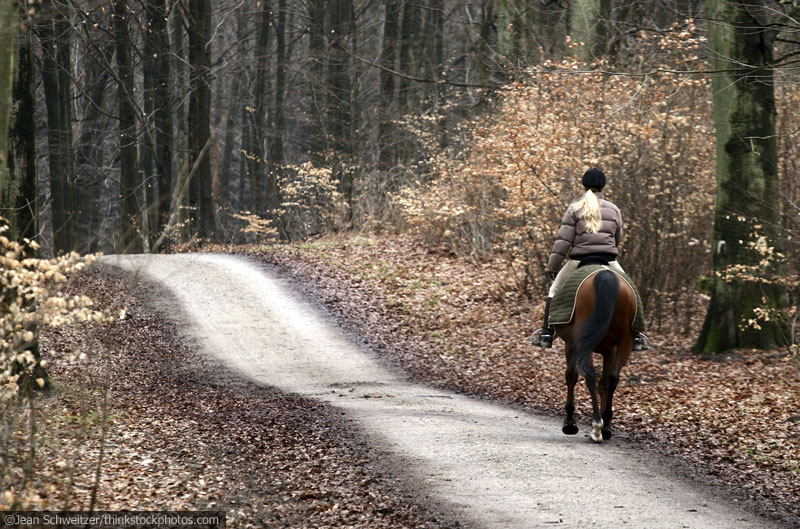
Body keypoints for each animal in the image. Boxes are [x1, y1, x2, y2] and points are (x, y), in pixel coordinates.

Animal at [552, 268, 636, 442]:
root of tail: (606, 276)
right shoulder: (610, 350)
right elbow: (604, 383)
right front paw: (606, 425)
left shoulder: (571, 345)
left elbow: (571, 376)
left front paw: (570, 423)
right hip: (626, 341)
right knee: (612, 378)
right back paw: (604, 426)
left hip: (584, 341)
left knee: (589, 376)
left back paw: (596, 427)